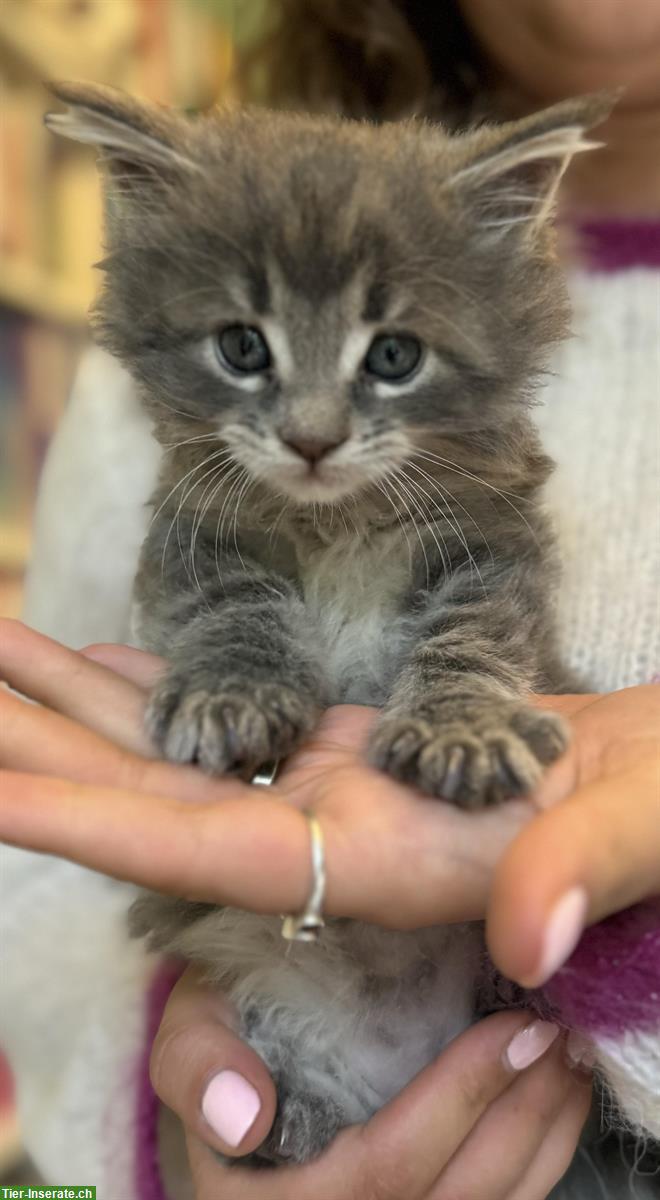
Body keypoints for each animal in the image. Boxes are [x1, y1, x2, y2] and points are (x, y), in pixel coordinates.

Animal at [49, 84, 609, 1171]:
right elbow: (237, 613)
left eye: (394, 356)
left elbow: (469, 639)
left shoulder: (495, 548)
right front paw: (234, 697)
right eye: (242, 347)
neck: (339, 518)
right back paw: (286, 1118)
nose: (312, 439)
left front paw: (462, 731)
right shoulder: (196, 537)